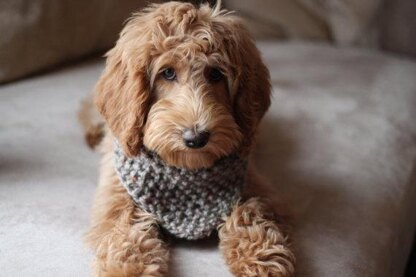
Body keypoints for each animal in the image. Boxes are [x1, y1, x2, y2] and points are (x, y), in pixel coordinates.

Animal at [82, 1, 296, 274]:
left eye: (215, 74)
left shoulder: (253, 182)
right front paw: (130, 269)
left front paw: (261, 258)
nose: (196, 138)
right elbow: (124, 227)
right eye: (167, 73)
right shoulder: (116, 194)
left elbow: (251, 209)